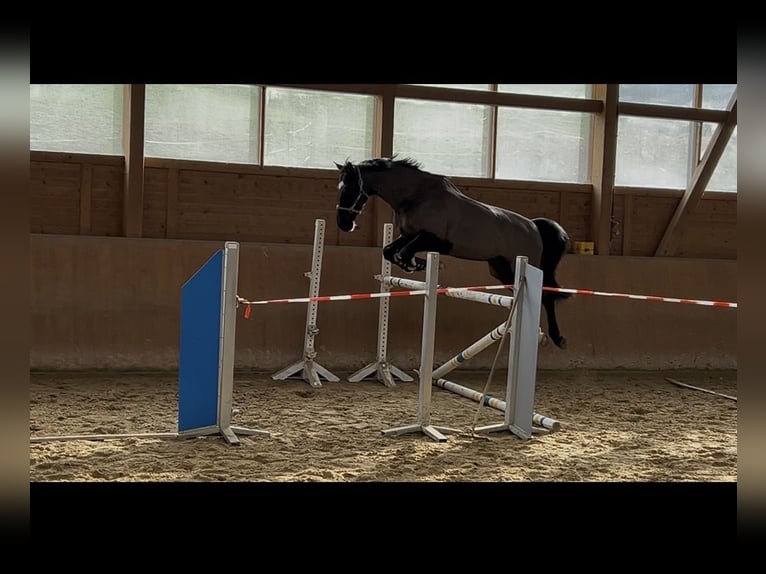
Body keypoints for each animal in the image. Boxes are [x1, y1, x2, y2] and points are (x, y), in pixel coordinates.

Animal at [334, 156, 572, 349]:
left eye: (350, 190)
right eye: (340, 189)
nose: (344, 224)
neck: (415, 195)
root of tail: (533, 227)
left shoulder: (433, 239)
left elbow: (403, 252)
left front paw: (416, 263)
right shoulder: (410, 235)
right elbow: (389, 251)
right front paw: (417, 264)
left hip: (522, 266)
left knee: (546, 296)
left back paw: (557, 338)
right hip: (501, 269)